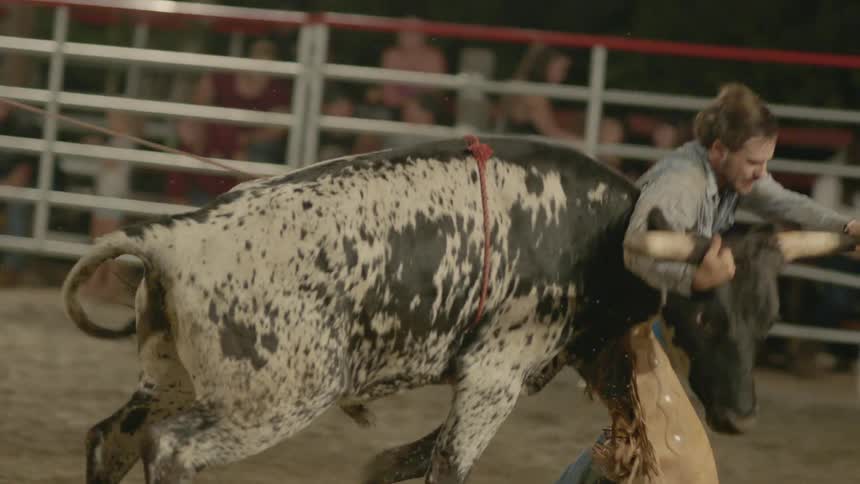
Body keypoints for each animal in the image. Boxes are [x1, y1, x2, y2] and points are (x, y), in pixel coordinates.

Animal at [61, 136, 855, 484]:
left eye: (769, 316)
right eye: (709, 315)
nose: (742, 415)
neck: (601, 236)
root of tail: (172, 236)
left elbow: (401, 460)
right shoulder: (493, 381)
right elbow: (445, 464)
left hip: (173, 377)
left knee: (110, 440)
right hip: (275, 398)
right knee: (171, 451)